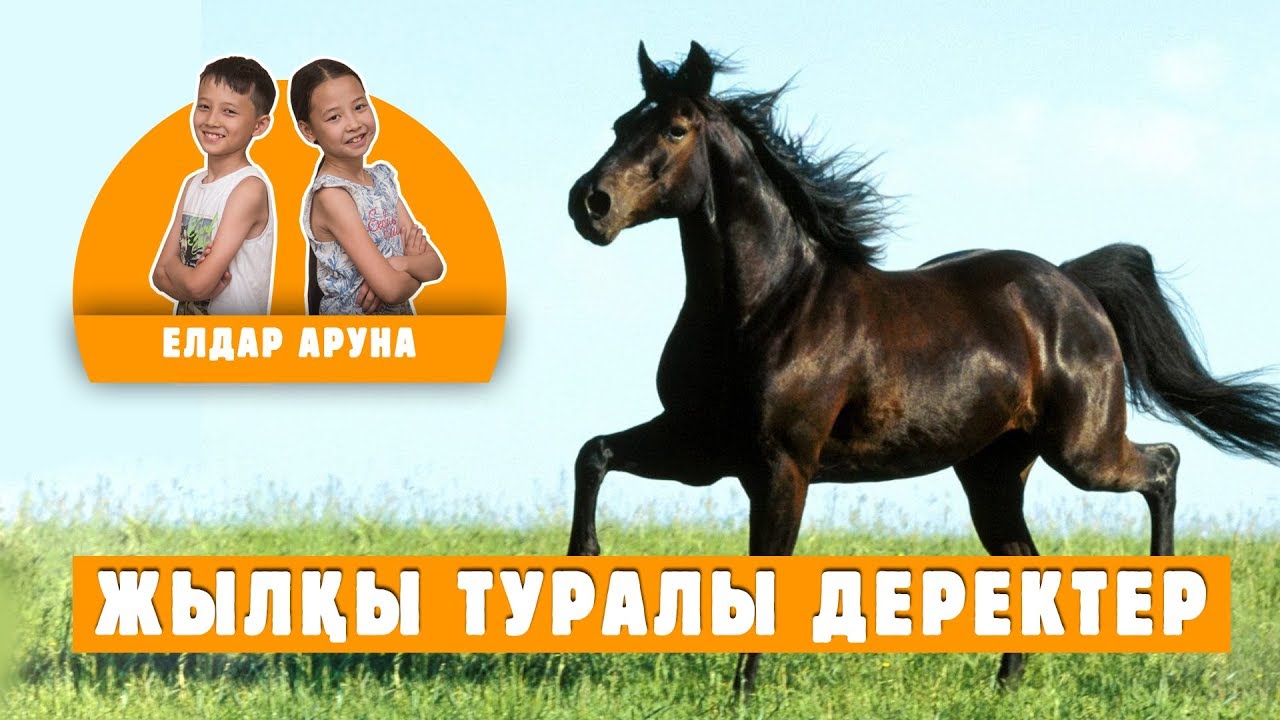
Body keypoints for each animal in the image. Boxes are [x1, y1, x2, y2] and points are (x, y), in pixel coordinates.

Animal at [565, 40, 1280, 694]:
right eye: (621, 124)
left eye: (675, 129)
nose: (589, 204)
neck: (767, 305)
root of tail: (1073, 285)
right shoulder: (702, 446)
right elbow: (593, 453)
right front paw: (581, 567)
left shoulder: (781, 464)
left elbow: (765, 571)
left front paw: (743, 693)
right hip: (993, 471)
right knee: (1027, 559)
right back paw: (1005, 686)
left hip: (1082, 451)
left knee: (1162, 465)